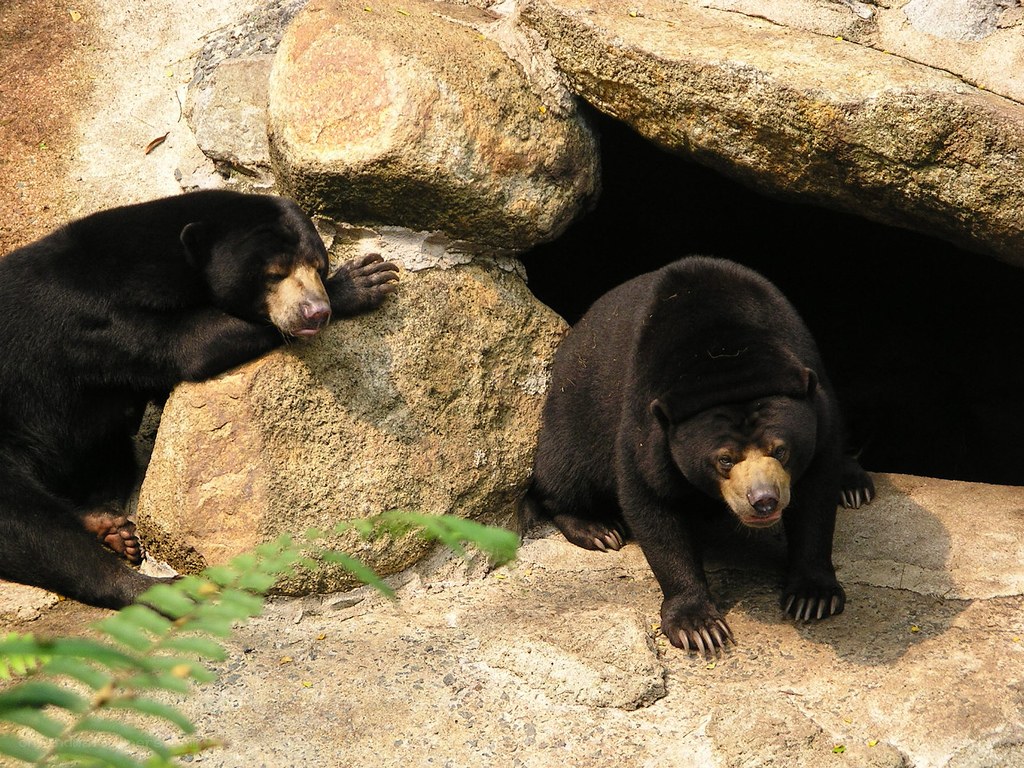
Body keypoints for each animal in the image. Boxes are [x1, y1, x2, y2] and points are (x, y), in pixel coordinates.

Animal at [0, 190, 399, 609]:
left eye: (318, 267)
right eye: (274, 273)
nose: (316, 312)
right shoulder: (99, 319)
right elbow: (190, 344)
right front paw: (361, 282)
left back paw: (109, 526)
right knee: (32, 526)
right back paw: (162, 589)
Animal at [520, 255, 874, 656]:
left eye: (780, 450)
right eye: (724, 459)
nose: (764, 501)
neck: (725, 356)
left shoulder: (818, 409)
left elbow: (816, 493)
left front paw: (812, 598)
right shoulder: (646, 424)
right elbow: (651, 502)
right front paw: (699, 627)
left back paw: (854, 486)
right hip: (574, 409)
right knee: (565, 469)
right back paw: (598, 529)